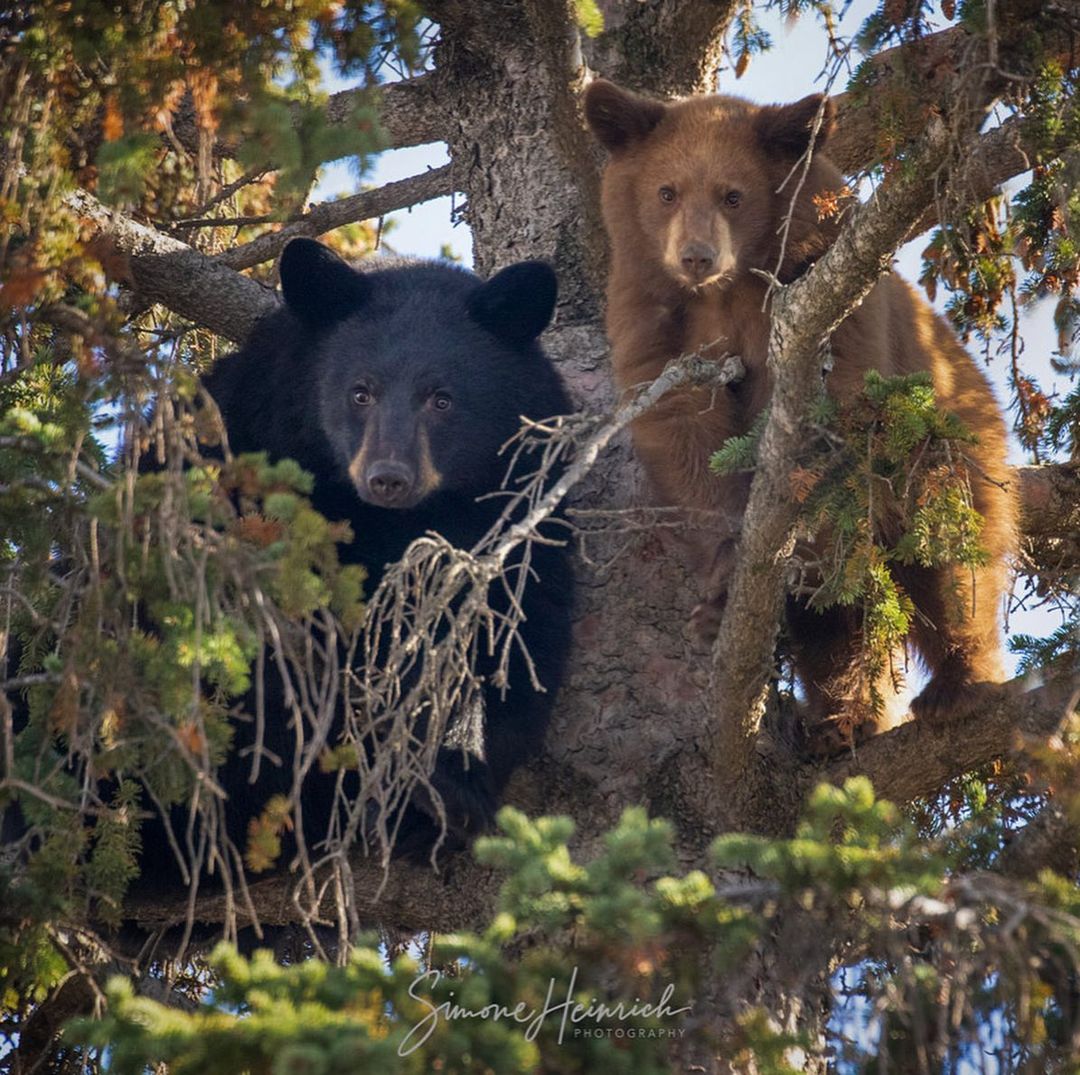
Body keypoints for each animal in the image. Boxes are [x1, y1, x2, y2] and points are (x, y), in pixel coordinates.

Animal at [139, 239, 578, 885]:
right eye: (360, 391)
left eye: (442, 398)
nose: (388, 477)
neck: (393, 523)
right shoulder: (242, 458)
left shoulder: (523, 509)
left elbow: (516, 643)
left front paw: (450, 788)